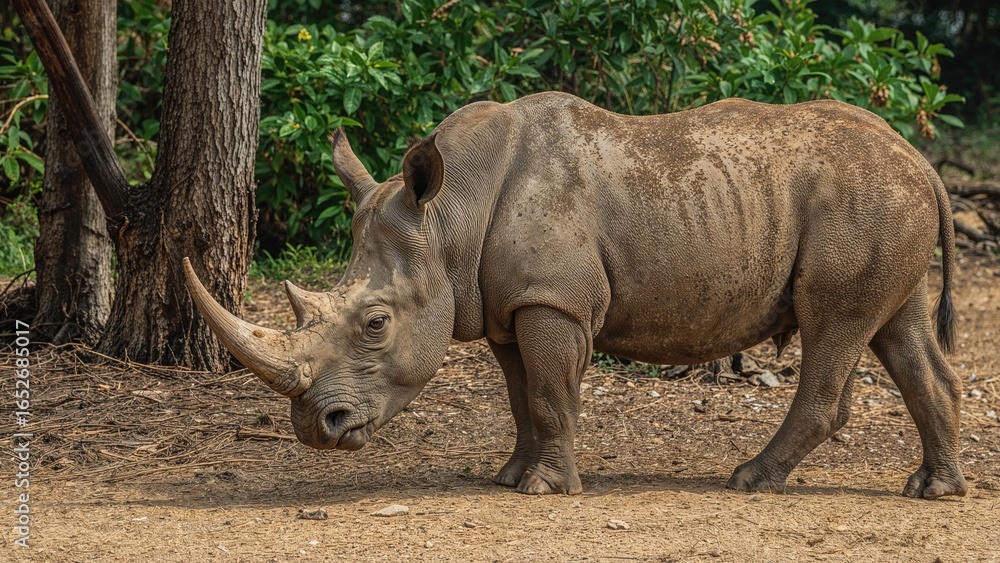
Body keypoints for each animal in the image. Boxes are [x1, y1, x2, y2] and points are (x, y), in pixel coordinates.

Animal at [183, 92, 966, 499]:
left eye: (374, 323)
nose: (320, 428)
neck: (447, 216)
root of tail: (920, 158)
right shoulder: (507, 304)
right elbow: (521, 394)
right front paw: (509, 476)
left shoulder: (552, 300)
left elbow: (552, 392)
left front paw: (545, 490)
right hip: (882, 202)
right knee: (896, 329)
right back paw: (933, 489)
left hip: (861, 204)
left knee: (836, 324)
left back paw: (749, 479)